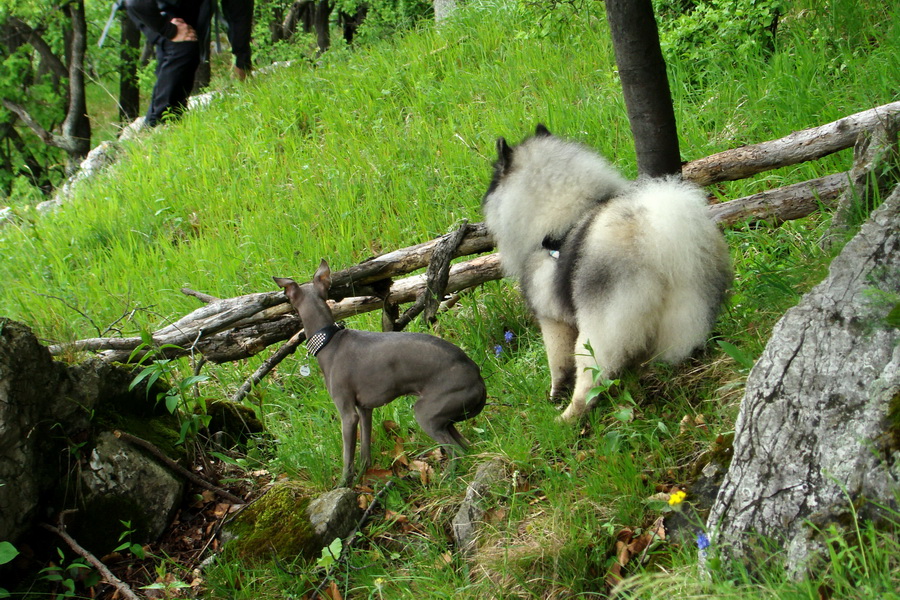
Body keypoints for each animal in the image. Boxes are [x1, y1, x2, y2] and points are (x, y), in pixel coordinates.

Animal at [274, 260, 488, 486]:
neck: (330, 340)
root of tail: (478, 378)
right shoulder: (365, 410)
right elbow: (365, 451)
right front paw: (364, 476)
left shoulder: (348, 414)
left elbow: (347, 456)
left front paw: (344, 484)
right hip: (445, 418)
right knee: (465, 446)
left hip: (427, 413)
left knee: (457, 451)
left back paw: (445, 480)